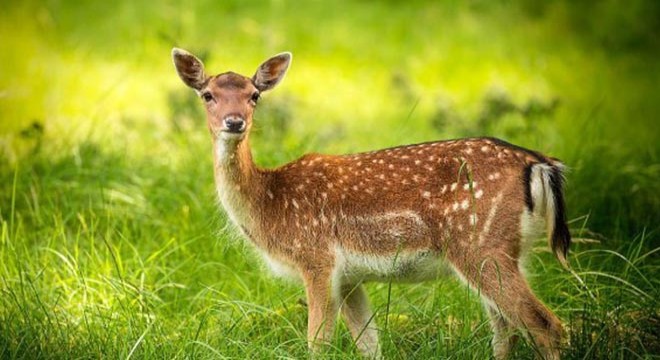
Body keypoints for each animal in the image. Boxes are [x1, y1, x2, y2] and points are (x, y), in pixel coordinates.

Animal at [173, 48, 568, 360]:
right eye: (207, 95)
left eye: (254, 95)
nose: (234, 121)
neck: (268, 202)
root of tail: (540, 163)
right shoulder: (349, 276)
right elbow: (369, 344)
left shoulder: (317, 259)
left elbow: (318, 344)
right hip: (503, 250)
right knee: (505, 331)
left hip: (480, 243)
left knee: (546, 325)